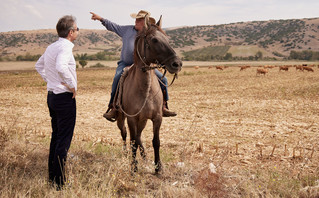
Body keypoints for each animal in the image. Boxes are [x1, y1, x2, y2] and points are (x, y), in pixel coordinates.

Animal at [115, 16, 182, 173]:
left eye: (167, 38)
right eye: (154, 40)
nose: (177, 64)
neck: (145, 89)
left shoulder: (157, 118)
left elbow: (156, 141)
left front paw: (158, 167)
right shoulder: (131, 118)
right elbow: (132, 141)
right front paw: (134, 167)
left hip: (143, 120)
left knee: (138, 137)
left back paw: (144, 157)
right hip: (122, 119)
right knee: (125, 134)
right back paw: (126, 154)